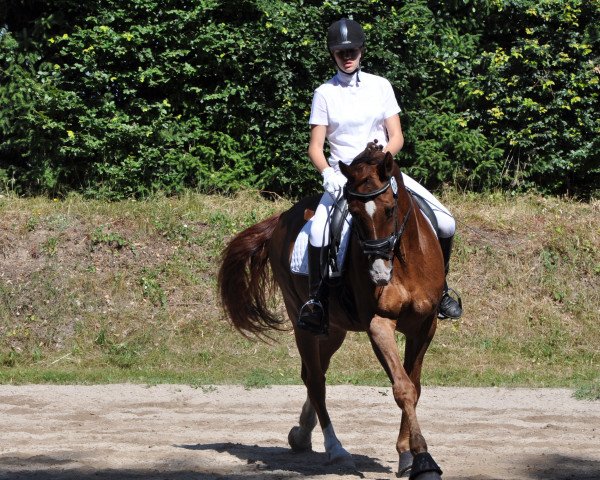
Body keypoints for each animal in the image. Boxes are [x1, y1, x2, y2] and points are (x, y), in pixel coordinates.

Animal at [218, 141, 442, 478]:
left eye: (390, 209)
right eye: (355, 214)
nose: (379, 274)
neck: (403, 261)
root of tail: (282, 218)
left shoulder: (425, 325)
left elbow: (413, 385)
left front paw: (406, 453)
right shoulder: (378, 324)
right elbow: (402, 387)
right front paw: (423, 459)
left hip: (334, 329)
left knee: (314, 372)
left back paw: (302, 433)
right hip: (302, 322)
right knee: (315, 380)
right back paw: (336, 450)